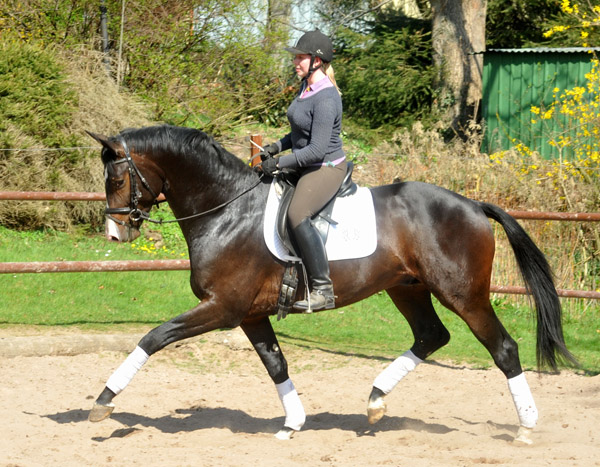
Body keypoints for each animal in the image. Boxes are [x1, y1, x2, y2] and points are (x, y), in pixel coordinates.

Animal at [86, 125, 576, 446]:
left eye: (117, 178)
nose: (115, 234)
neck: (226, 210)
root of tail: (473, 204)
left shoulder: (223, 308)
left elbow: (154, 337)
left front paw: (103, 401)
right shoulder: (250, 313)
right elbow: (276, 364)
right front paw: (293, 423)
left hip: (463, 294)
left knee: (503, 348)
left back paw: (526, 426)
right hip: (407, 287)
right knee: (431, 335)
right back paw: (376, 400)